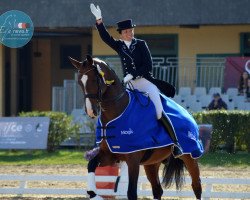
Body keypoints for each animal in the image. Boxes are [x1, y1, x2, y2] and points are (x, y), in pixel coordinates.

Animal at [69, 55, 202, 200]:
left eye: (94, 80)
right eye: (79, 82)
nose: (91, 111)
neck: (117, 112)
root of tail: (190, 115)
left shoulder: (133, 159)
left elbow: (132, 193)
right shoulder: (110, 154)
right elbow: (91, 164)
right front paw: (93, 193)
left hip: (189, 156)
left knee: (196, 186)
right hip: (151, 163)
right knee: (157, 190)